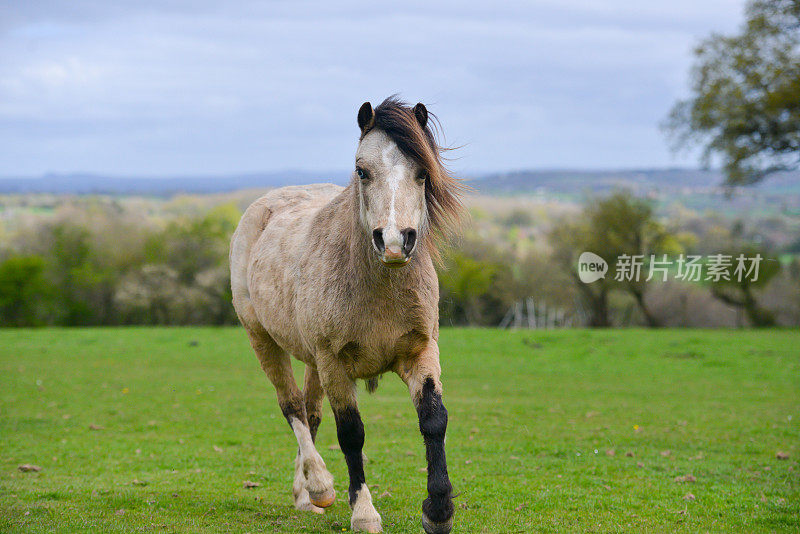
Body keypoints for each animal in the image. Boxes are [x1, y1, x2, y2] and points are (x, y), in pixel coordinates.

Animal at [228, 97, 466, 534]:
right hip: (265, 340)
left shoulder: (420, 352)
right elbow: (351, 434)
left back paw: (305, 495)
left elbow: (433, 420)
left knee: (310, 412)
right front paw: (364, 513)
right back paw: (320, 486)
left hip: (311, 359)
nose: (395, 241)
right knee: (292, 407)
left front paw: (438, 510)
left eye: (423, 172)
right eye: (362, 170)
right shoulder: (335, 363)